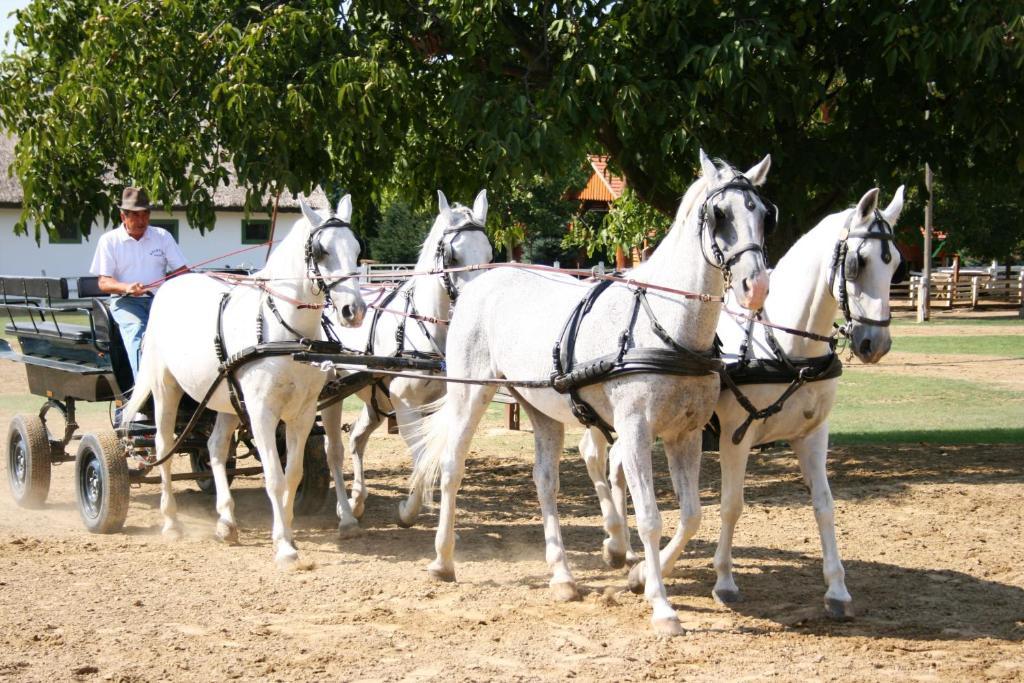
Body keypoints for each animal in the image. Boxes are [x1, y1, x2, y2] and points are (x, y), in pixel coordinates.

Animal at [121, 196, 366, 565]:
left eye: (356, 249)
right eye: (321, 251)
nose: (354, 310)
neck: (286, 333)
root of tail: (168, 286)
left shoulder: (303, 413)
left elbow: (293, 475)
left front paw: (289, 530)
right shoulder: (262, 412)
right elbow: (274, 477)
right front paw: (284, 546)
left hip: (225, 400)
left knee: (214, 447)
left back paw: (226, 522)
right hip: (167, 388)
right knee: (164, 446)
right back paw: (171, 522)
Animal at [321, 188, 493, 532]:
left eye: (490, 253)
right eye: (452, 257)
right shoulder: (405, 403)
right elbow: (421, 454)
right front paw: (407, 510)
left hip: (374, 400)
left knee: (357, 438)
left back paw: (358, 500)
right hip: (332, 393)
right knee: (333, 450)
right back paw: (346, 512)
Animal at [403, 150, 770, 634]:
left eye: (763, 213)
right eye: (719, 214)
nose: (756, 286)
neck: (666, 325)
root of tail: (480, 284)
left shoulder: (685, 435)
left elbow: (691, 515)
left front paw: (639, 574)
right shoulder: (635, 431)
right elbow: (649, 518)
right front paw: (661, 605)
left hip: (540, 409)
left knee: (545, 482)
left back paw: (562, 576)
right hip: (471, 395)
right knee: (451, 469)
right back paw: (443, 561)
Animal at [589, 185, 909, 618]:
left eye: (896, 266)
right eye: (858, 263)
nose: (874, 343)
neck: (786, 347)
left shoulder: (812, 434)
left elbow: (824, 505)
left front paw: (837, 590)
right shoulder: (734, 437)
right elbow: (731, 505)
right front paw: (724, 580)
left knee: (618, 465)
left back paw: (626, 549)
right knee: (597, 457)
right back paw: (620, 545)